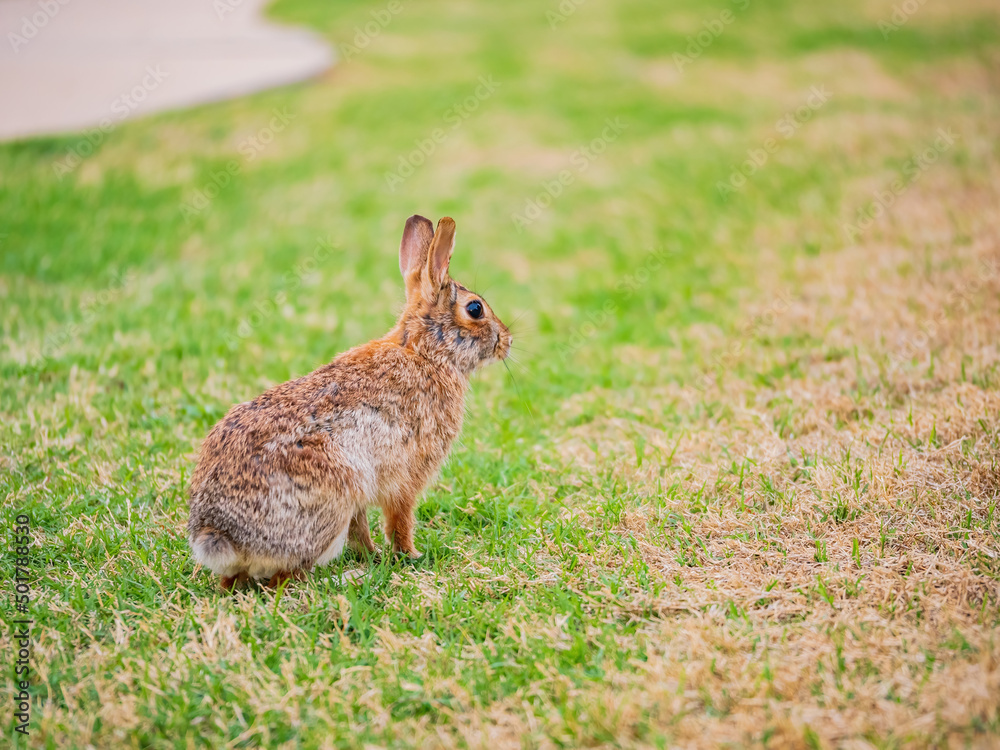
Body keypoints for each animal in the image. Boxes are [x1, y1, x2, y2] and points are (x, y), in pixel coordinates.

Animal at [187, 215, 511, 590]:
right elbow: (399, 520)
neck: (426, 352)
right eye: (475, 309)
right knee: (288, 578)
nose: (507, 340)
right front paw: (409, 555)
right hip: (333, 498)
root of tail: (219, 533)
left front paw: (373, 554)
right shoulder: (406, 477)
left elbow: (362, 529)